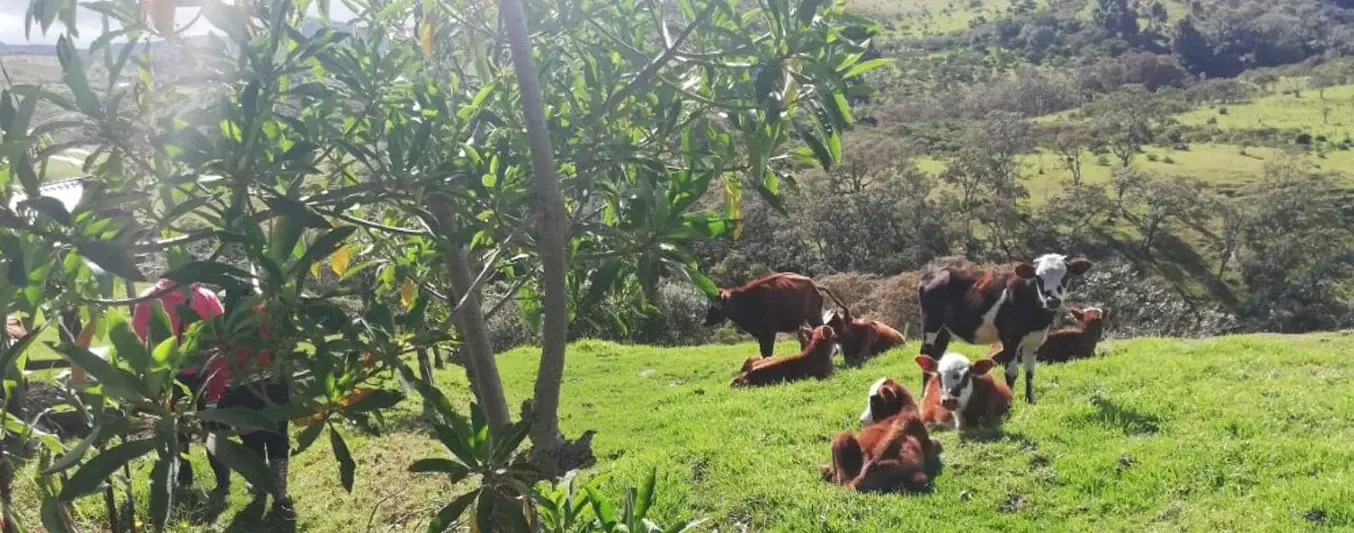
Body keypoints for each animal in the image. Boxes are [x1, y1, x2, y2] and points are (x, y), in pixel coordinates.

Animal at [709, 273, 844, 357]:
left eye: (715, 306)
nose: (706, 321)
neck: (748, 300)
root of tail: (814, 285)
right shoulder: (762, 334)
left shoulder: (768, 332)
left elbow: (767, 351)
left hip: (813, 315)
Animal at [909, 254, 1088, 403]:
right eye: (1038, 277)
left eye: (1065, 276)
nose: (1052, 300)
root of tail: (934, 273)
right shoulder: (1010, 339)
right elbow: (1011, 373)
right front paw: (1011, 400)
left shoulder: (1035, 340)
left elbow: (1030, 372)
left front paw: (1030, 401)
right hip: (931, 324)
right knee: (927, 353)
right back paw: (924, 395)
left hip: (944, 332)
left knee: (936, 355)